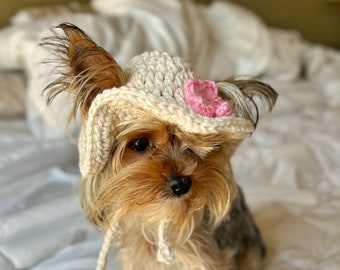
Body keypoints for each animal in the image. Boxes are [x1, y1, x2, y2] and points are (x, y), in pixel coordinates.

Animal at [43, 23, 278, 270]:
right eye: (140, 143)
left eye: (199, 147)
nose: (182, 184)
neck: (156, 216)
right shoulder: (133, 257)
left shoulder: (202, 258)